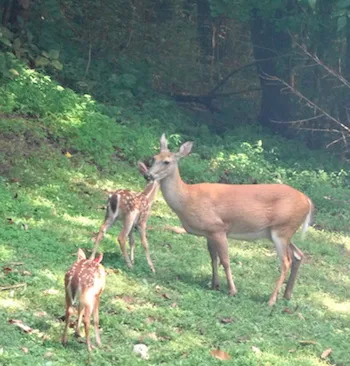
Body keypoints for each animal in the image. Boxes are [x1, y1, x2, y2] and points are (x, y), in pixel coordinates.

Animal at [147, 134, 314, 306]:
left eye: (167, 161)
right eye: (153, 158)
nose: (148, 175)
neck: (187, 198)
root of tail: (308, 201)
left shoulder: (218, 228)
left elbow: (225, 260)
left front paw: (232, 290)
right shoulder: (209, 232)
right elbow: (213, 258)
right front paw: (214, 284)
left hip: (282, 229)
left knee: (286, 261)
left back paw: (271, 300)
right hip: (281, 231)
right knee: (299, 255)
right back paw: (287, 295)